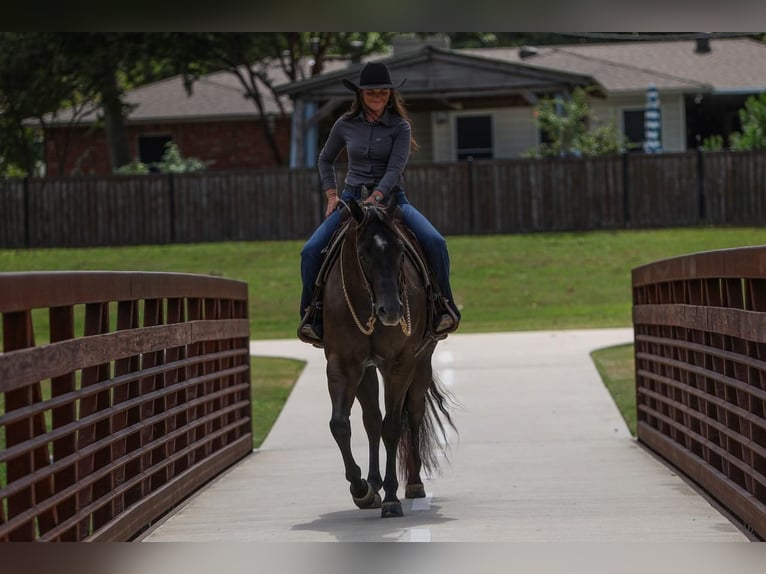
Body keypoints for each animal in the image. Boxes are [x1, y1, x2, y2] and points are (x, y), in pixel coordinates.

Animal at [322, 200, 456, 520]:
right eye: (363, 254)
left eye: (400, 251)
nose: (392, 310)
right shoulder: (342, 365)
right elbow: (340, 425)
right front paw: (361, 489)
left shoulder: (399, 364)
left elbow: (393, 427)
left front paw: (392, 498)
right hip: (367, 371)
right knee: (371, 420)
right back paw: (373, 482)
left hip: (421, 365)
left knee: (413, 415)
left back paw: (414, 483)